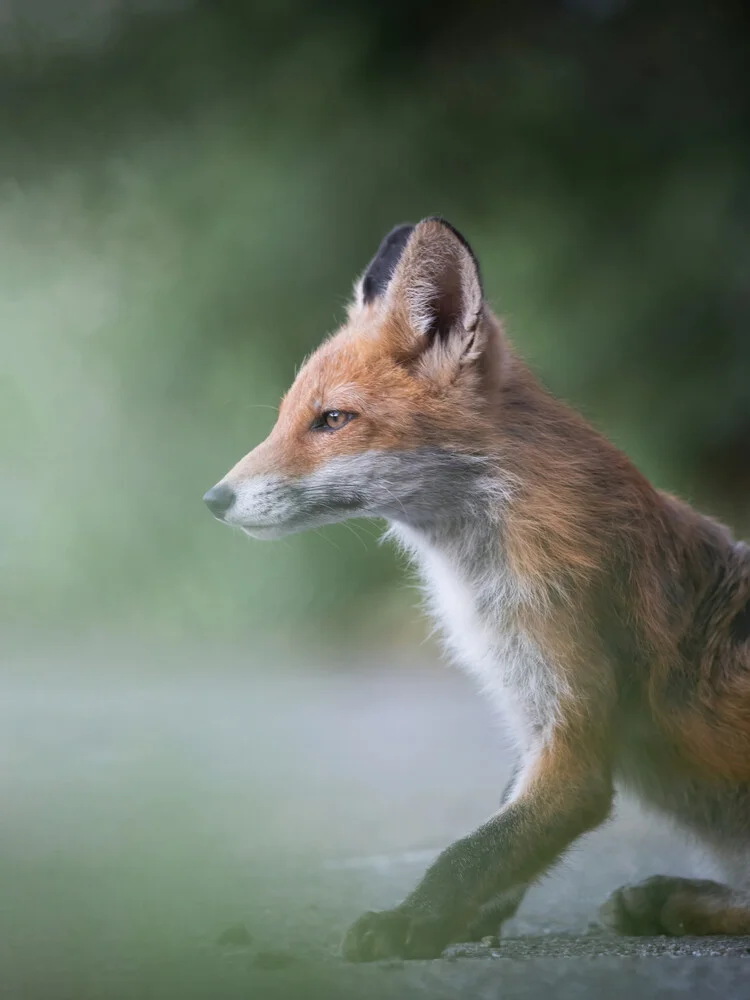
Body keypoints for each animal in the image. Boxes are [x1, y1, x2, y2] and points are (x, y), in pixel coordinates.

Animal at [204, 219, 750, 960]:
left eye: (333, 420)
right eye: (287, 415)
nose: (213, 499)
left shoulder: (571, 737)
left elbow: (471, 853)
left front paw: (410, 922)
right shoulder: (531, 717)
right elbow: (502, 840)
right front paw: (464, 921)